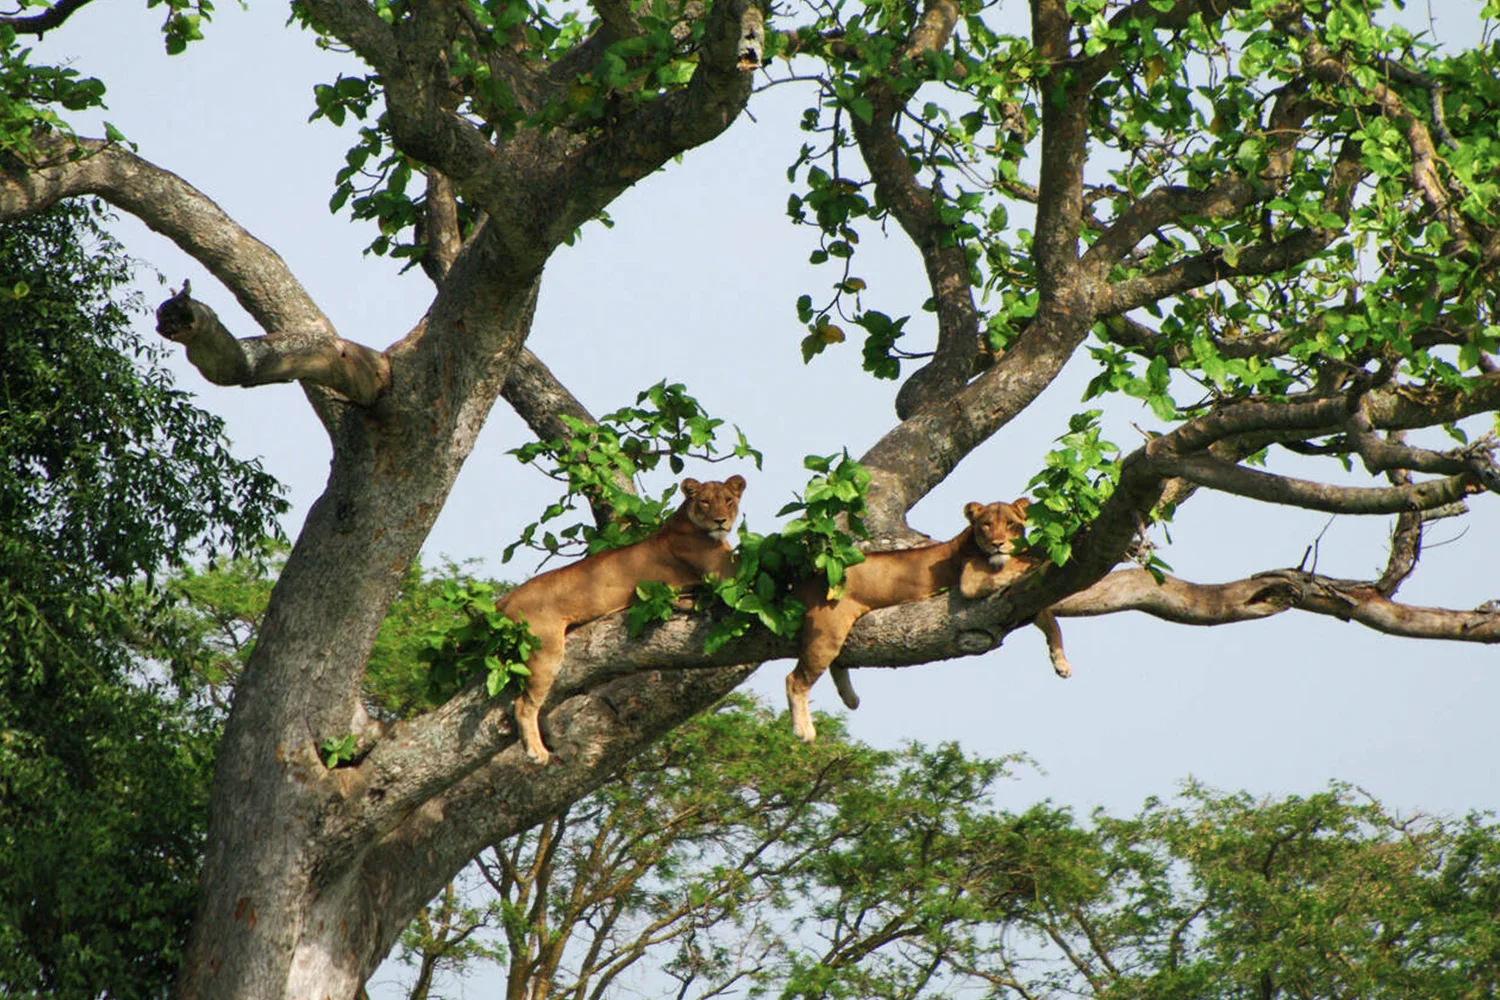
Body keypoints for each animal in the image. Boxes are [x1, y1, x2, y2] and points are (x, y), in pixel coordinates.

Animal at [499, 475, 745, 764]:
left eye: (728, 500)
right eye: (705, 502)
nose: (720, 521)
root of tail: (508, 597)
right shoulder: (725, 573)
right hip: (545, 650)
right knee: (523, 705)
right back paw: (537, 751)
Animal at [785, 497, 1071, 743]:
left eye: (1011, 524)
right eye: (986, 525)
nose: (998, 543)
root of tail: (810, 576)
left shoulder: (1026, 599)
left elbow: (1051, 622)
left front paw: (1061, 663)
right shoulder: (971, 580)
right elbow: (1019, 569)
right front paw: (1036, 558)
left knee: (837, 662)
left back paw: (850, 698)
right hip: (827, 628)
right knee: (795, 680)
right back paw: (803, 730)